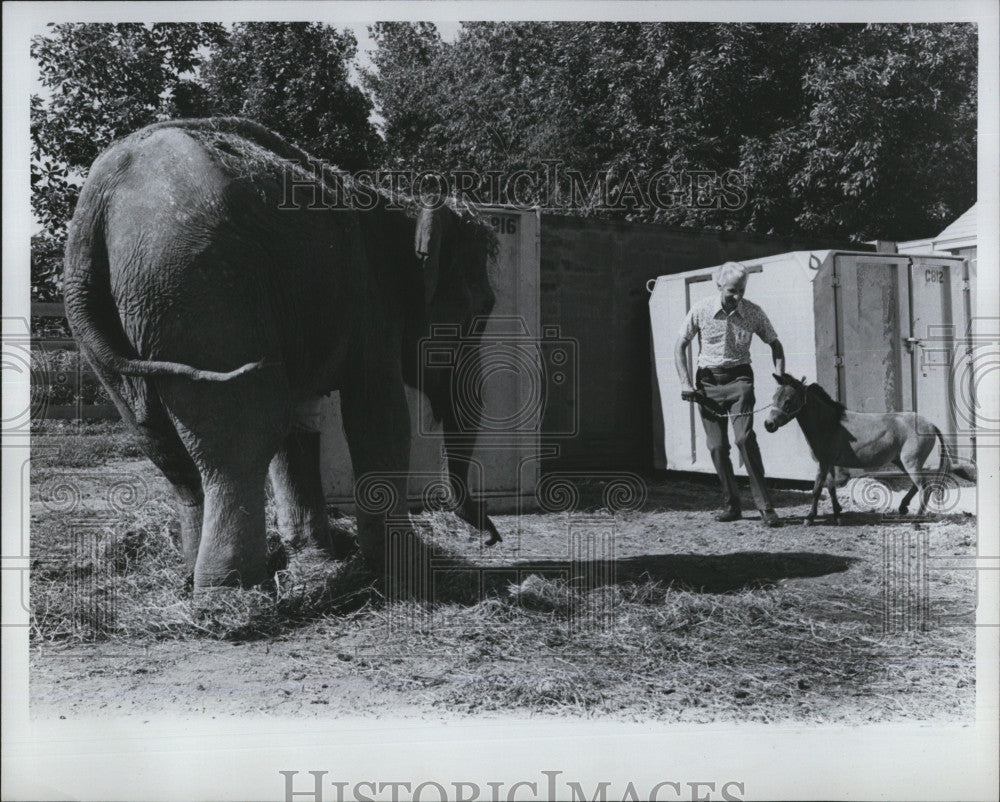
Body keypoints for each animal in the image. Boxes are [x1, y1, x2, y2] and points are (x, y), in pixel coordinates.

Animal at [62, 117, 500, 592]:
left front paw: (320, 558)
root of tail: (95, 203)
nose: (490, 535)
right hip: (203, 289)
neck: (397, 205)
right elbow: (379, 419)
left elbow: (302, 424)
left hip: (123, 321)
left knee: (163, 443)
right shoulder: (369, 303)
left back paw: (192, 575)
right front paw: (407, 571)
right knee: (243, 433)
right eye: (482, 310)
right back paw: (229, 590)